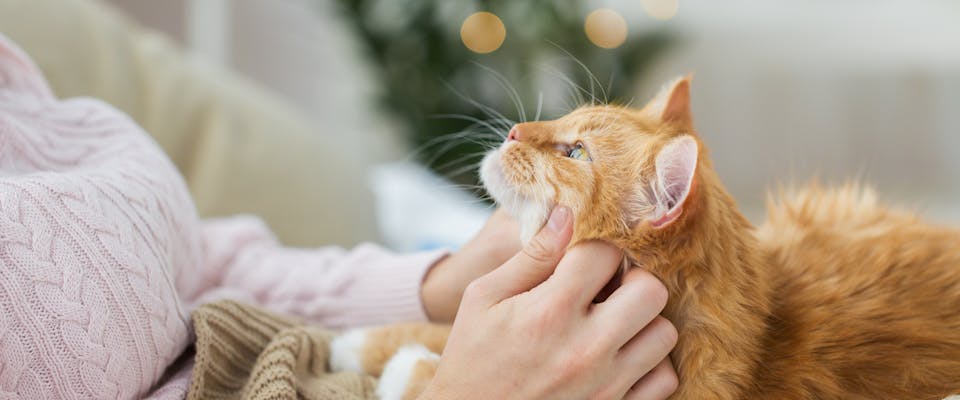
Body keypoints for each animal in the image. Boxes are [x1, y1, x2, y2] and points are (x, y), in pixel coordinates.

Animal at [332, 76, 960, 398]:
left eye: (575, 152)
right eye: (565, 123)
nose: (513, 130)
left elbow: (432, 369)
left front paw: (403, 368)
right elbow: (445, 322)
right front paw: (359, 342)